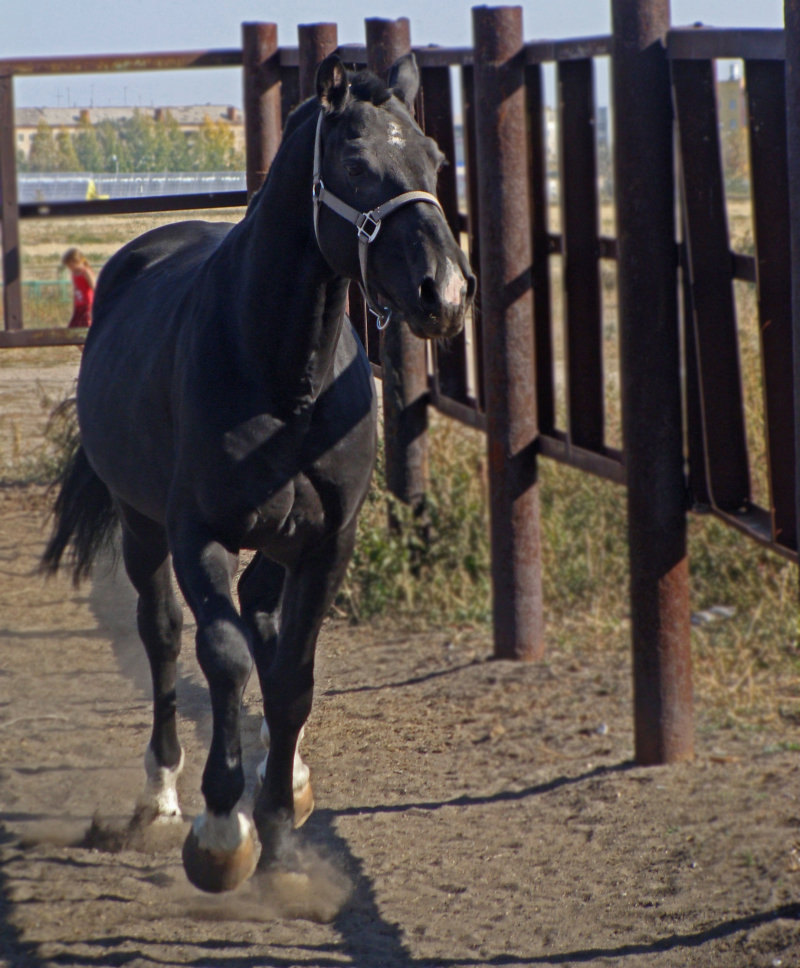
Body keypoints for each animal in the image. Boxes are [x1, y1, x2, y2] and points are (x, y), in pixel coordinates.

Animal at [40, 54, 476, 892]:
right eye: (355, 164)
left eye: (436, 159)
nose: (445, 292)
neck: (284, 376)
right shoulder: (197, 533)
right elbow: (223, 654)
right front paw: (221, 829)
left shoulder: (328, 540)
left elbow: (294, 671)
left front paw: (275, 818)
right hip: (143, 528)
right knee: (165, 633)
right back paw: (160, 797)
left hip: (277, 539)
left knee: (267, 626)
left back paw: (290, 773)